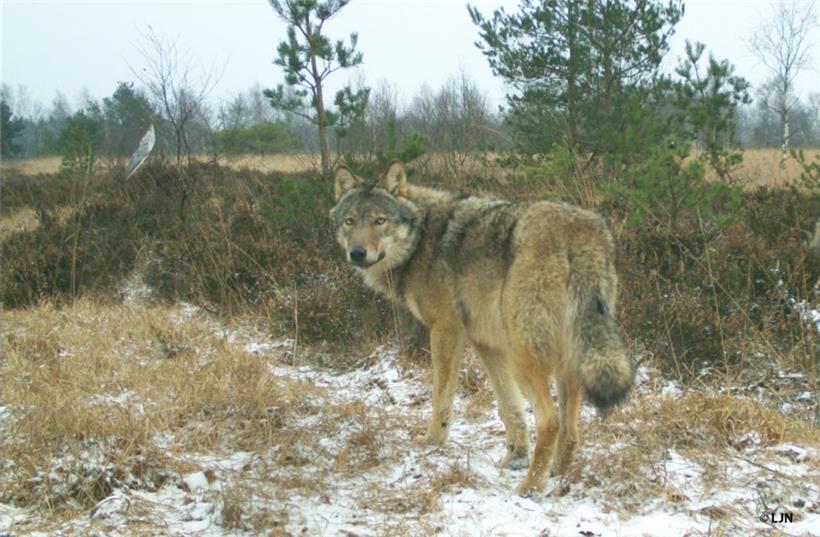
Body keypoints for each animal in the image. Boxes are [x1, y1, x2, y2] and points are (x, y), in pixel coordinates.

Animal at [330, 161, 633, 495]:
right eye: (349, 221)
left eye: (379, 220)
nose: (357, 253)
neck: (422, 238)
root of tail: (579, 230)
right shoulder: (487, 344)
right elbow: (509, 408)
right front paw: (515, 457)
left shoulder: (445, 331)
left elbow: (441, 397)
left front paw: (433, 440)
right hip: (566, 354)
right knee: (570, 425)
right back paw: (557, 472)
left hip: (523, 356)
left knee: (550, 420)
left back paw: (531, 486)